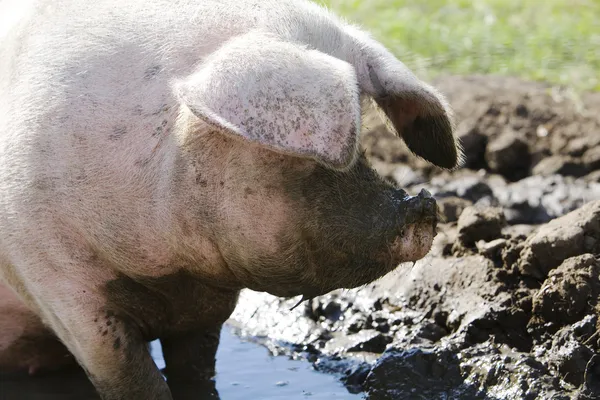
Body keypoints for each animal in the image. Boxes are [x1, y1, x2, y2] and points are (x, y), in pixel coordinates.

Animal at [0, 0, 460, 398]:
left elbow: (196, 368)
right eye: (301, 160)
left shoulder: (206, 304)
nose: (422, 207)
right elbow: (132, 379)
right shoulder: (53, 278)